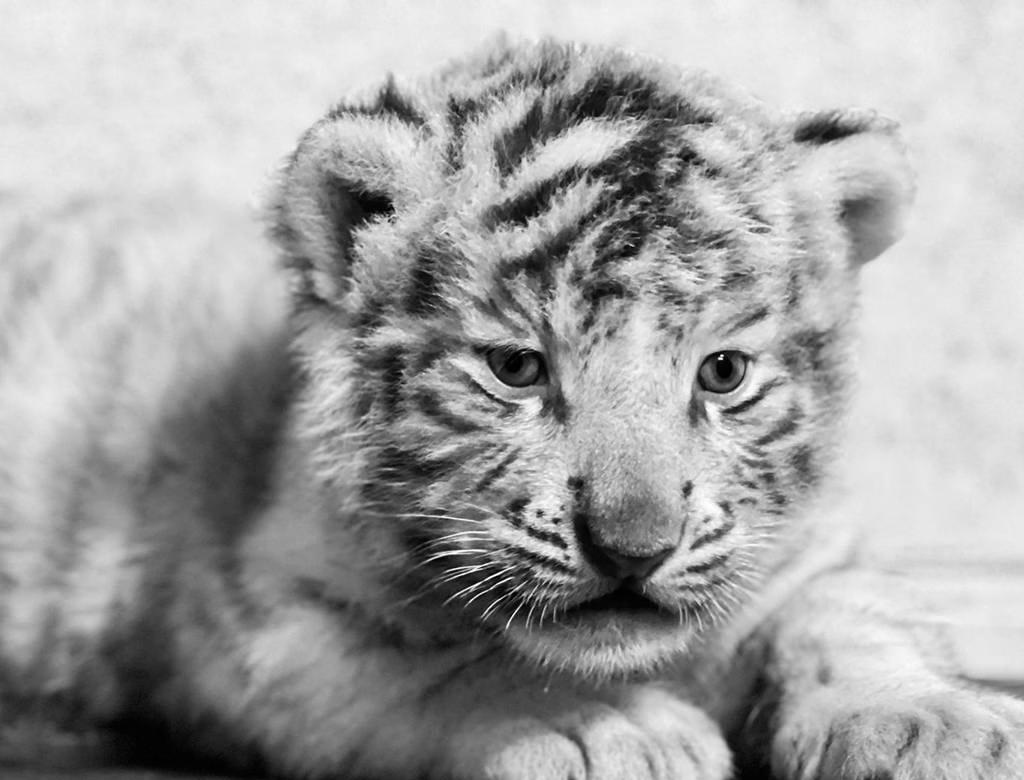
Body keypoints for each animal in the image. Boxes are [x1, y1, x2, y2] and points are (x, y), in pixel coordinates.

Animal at [1, 37, 1022, 780]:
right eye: (517, 369)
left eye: (723, 372)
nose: (633, 549)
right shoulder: (258, 619)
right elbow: (457, 664)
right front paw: (607, 729)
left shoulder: (808, 551)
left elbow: (855, 616)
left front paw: (937, 725)